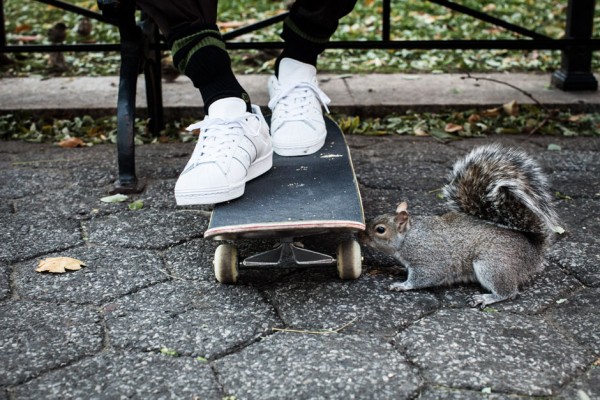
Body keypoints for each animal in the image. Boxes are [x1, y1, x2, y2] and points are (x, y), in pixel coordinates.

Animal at [360, 144, 564, 306]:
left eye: (380, 230)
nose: (361, 236)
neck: (409, 236)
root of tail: (533, 253)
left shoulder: (428, 258)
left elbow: (425, 276)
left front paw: (402, 285)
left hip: (493, 265)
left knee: (509, 292)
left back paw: (487, 298)